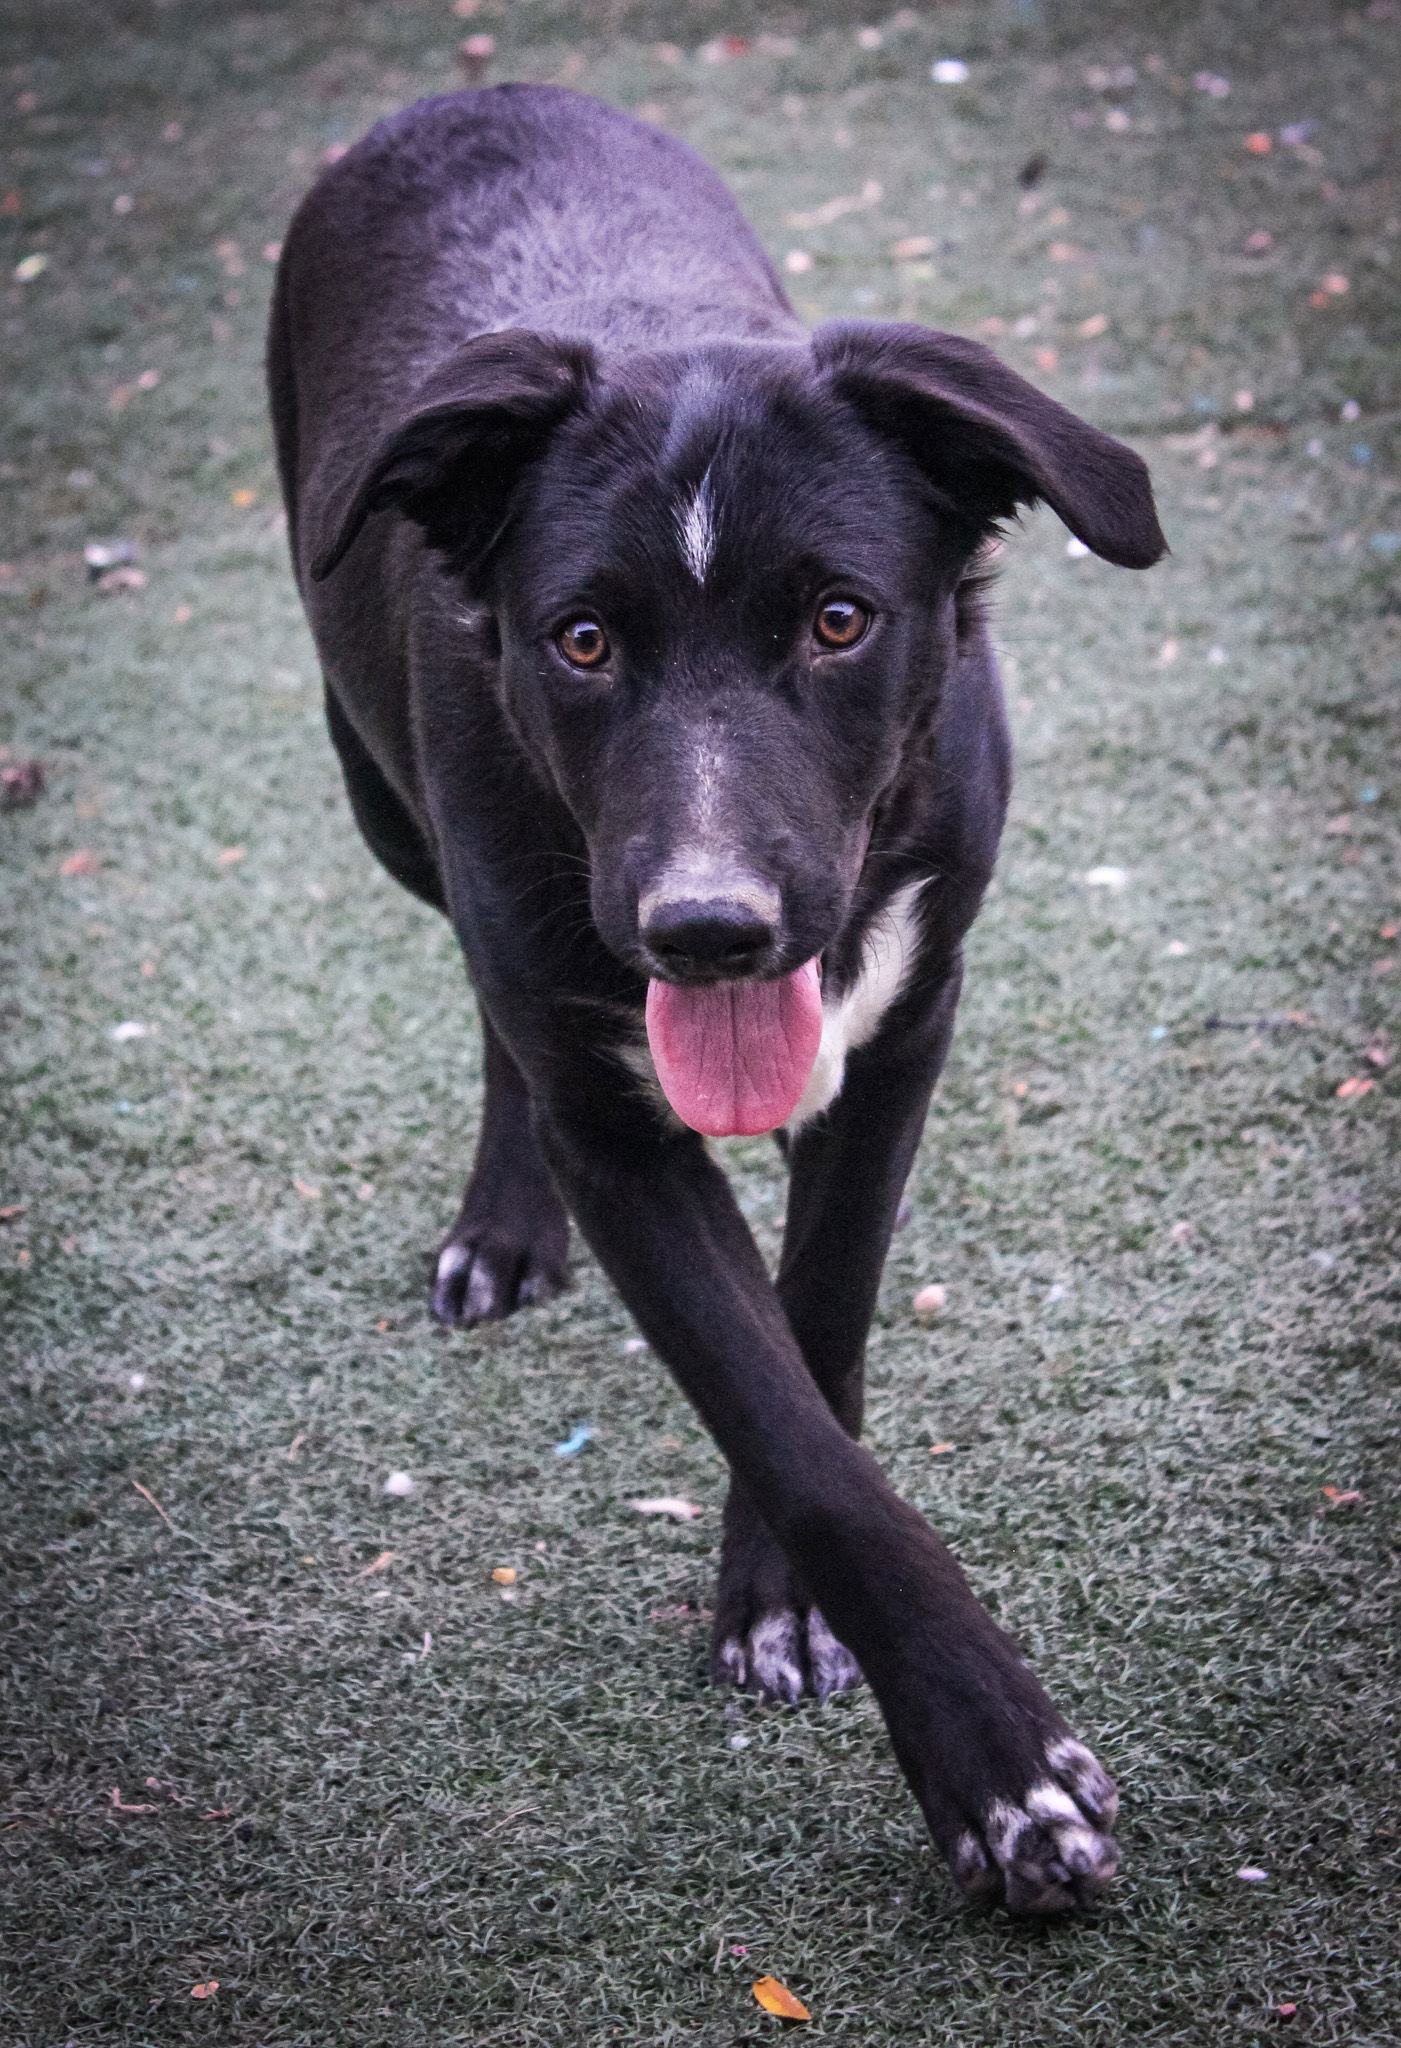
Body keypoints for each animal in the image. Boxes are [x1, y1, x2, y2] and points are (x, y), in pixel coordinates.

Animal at [268, 83, 1163, 1916]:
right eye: (580, 639)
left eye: (838, 618)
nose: (705, 930)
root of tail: (467, 91)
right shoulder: (619, 1128)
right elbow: (783, 1412)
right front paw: (999, 1773)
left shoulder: (905, 1025)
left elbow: (812, 1331)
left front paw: (791, 1609)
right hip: (391, 805)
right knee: (498, 1010)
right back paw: (499, 1224)